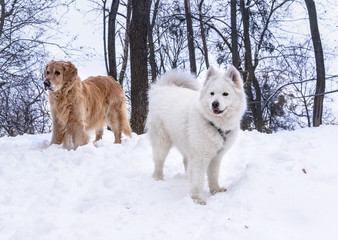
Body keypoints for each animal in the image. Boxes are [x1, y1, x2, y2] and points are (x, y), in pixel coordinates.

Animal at [147, 65, 247, 204]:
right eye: (212, 93)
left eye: (225, 94)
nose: (215, 103)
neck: (215, 125)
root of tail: (162, 88)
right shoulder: (200, 155)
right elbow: (197, 179)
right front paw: (197, 199)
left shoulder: (216, 157)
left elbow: (213, 175)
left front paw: (216, 190)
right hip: (162, 142)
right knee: (159, 162)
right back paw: (158, 179)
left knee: (185, 161)